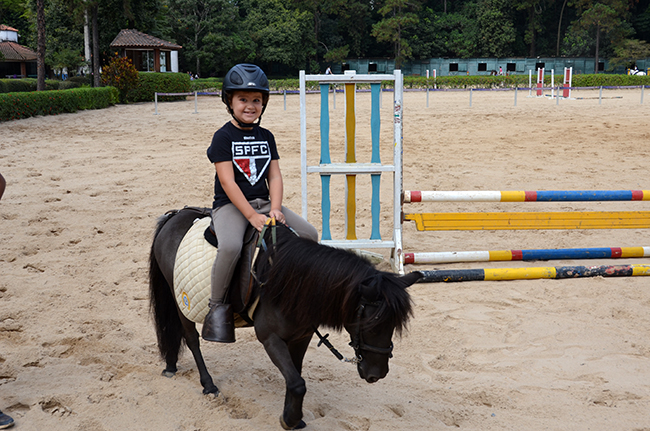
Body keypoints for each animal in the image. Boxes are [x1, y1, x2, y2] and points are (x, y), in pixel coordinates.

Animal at [148, 208, 420, 428]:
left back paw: (171, 365)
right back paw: (208, 385)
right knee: (191, 338)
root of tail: (175, 216)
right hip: (179, 298)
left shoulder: (302, 336)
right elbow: (298, 382)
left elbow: (295, 377)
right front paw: (289, 419)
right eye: (372, 324)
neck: (292, 282)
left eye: (394, 325)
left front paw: (294, 416)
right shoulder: (270, 338)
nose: (378, 373)